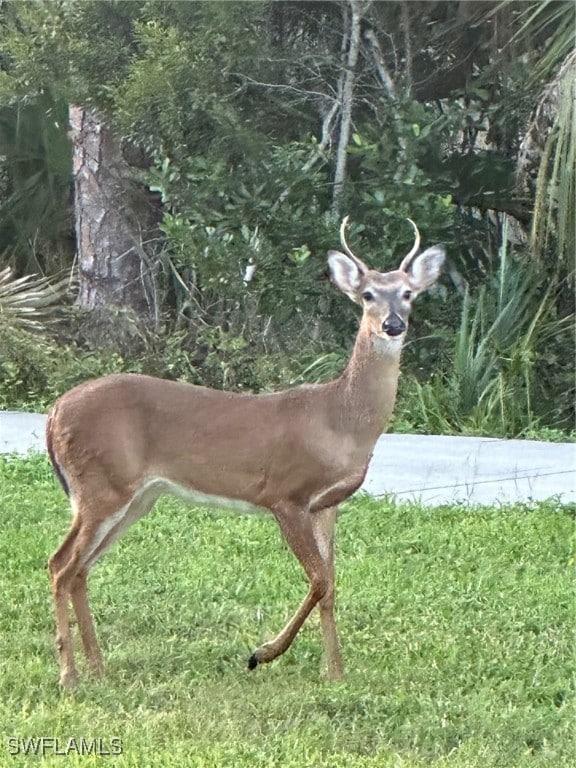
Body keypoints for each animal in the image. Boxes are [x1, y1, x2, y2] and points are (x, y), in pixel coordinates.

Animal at [46, 218, 446, 688]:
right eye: (367, 294)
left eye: (408, 292)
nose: (393, 324)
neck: (340, 421)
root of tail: (53, 413)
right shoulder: (285, 495)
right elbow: (317, 580)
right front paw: (263, 653)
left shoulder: (327, 505)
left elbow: (331, 584)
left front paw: (335, 673)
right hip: (101, 485)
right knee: (60, 564)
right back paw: (69, 675)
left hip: (136, 496)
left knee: (80, 569)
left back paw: (97, 667)